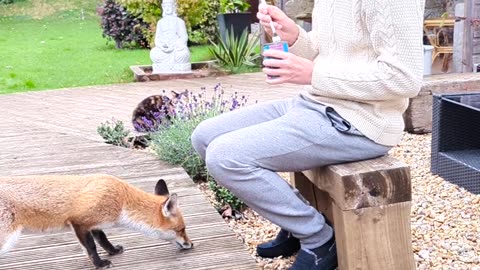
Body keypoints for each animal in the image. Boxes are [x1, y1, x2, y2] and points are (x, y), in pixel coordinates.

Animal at [0, 174, 193, 268]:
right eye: (181, 229)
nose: (191, 244)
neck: (121, 200)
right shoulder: (79, 222)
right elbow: (92, 247)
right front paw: (99, 264)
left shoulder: (94, 223)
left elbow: (103, 240)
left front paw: (113, 251)